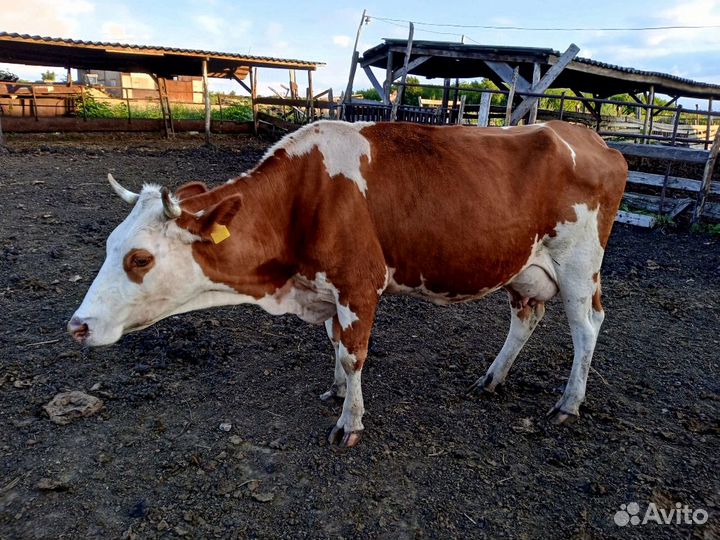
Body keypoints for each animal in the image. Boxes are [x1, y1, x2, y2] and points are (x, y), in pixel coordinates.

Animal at [68, 120, 627, 447]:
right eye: (109, 245)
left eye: (140, 258)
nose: (77, 326)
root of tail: (591, 138)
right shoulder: (327, 289)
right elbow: (335, 344)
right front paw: (336, 390)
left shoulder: (359, 284)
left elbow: (354, 353)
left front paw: (350, 422)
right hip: (522, 264)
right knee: (525, 315)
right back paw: (493, 378)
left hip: (579, 262)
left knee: (586, 326)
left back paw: (569, 403)